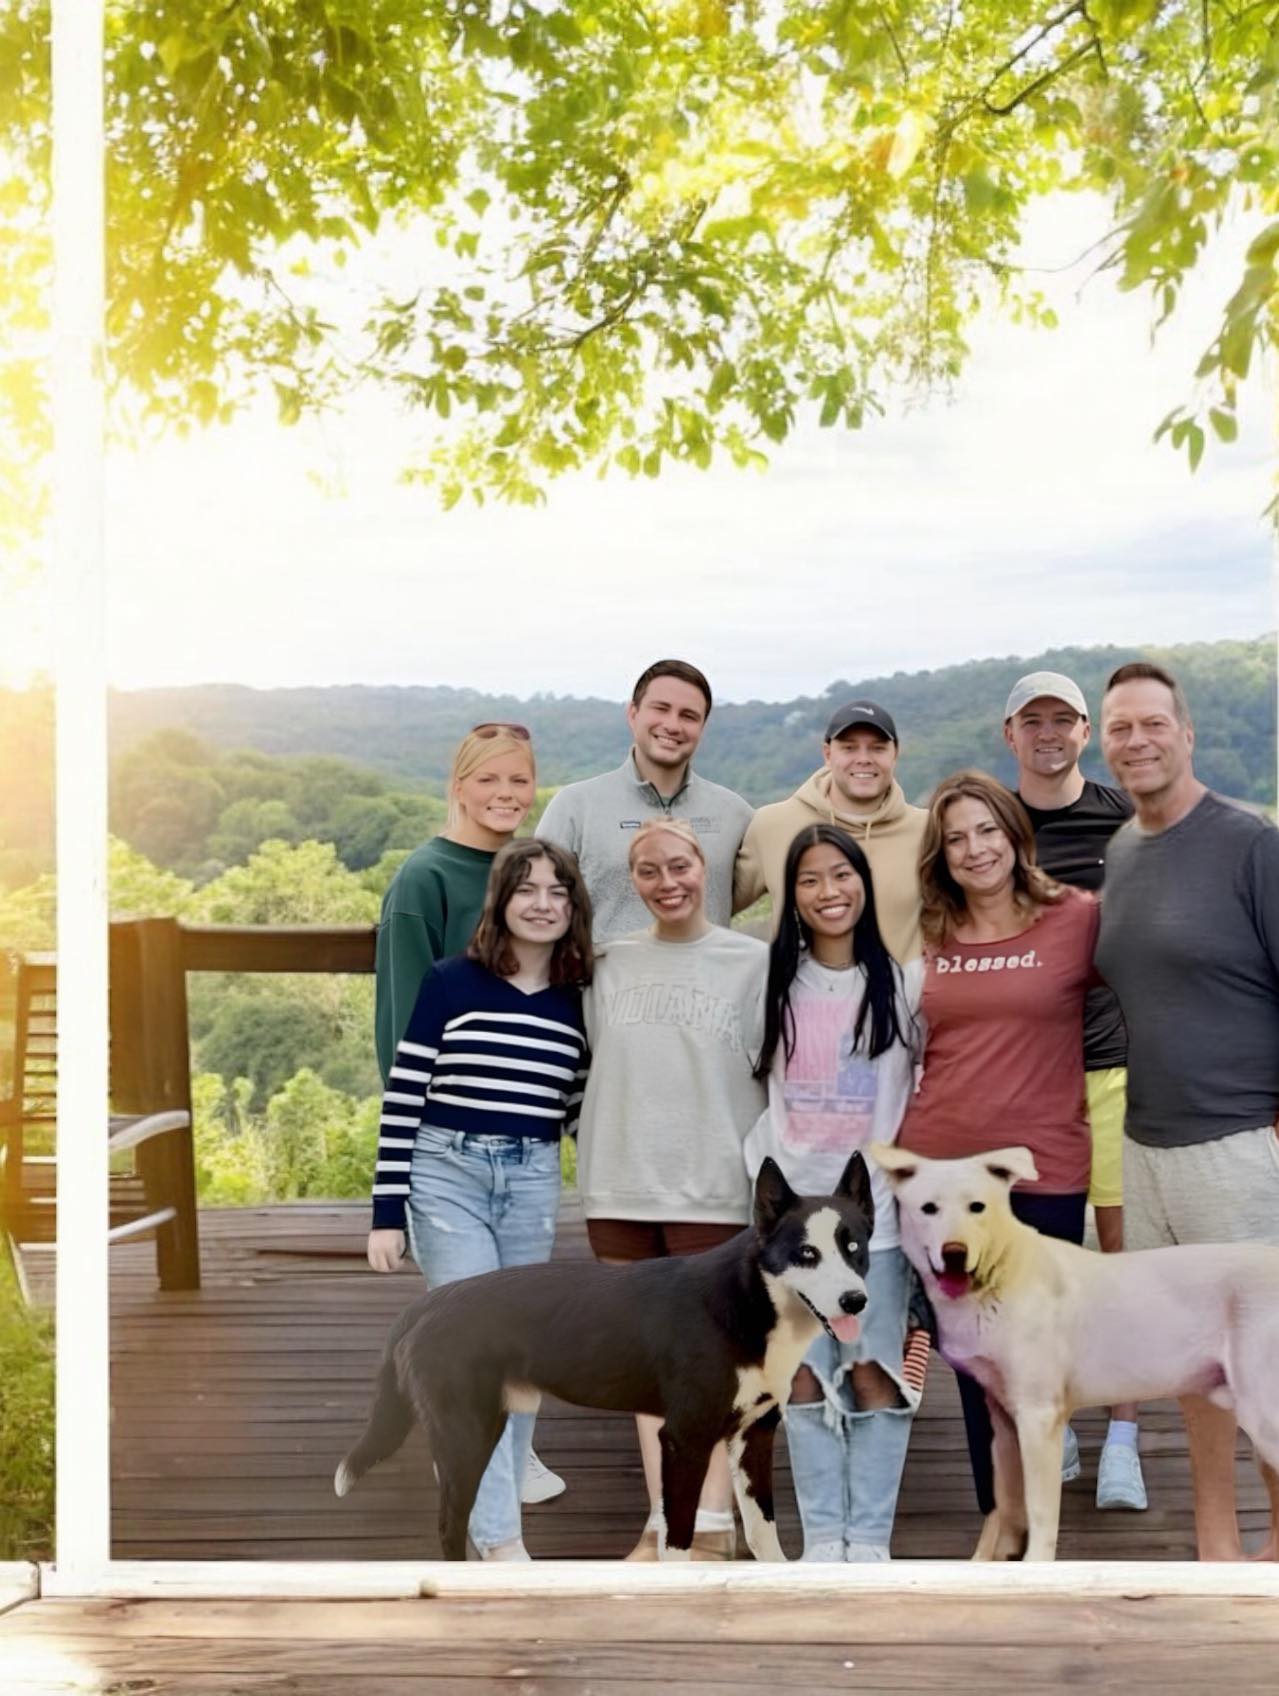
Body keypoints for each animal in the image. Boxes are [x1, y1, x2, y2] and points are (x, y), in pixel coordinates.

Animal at [334, 1153, 875, 1560]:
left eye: (854, 1248)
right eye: (806, 1254)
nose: (855, 1301)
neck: (747, 1301)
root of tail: (430, 1302)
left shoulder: (753, 1437)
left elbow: (764, 1535)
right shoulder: (685, 1439)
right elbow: (677, 1541)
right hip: (466, 1433)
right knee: (450, 1524)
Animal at [868, 1139, 1275, 1560]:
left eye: (977, 1207)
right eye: (928, 1208)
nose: (954, 1253)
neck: (1000, 1274)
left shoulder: (1039, 1418)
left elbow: (1040, 1514)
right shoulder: (1004, 1418)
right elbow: (1007, 1501)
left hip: (1264, 1418)